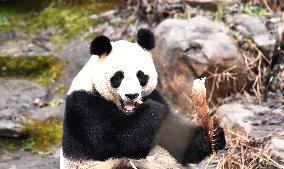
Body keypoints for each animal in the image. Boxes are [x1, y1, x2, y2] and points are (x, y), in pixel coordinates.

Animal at [60, 28, 226, 168]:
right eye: (118, 76)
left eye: (141, 76)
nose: (132, 95)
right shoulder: (83, 105)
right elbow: (111, 139)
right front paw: (152, 110)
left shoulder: (155, 95)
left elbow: (177, 139)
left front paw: (212, 137)